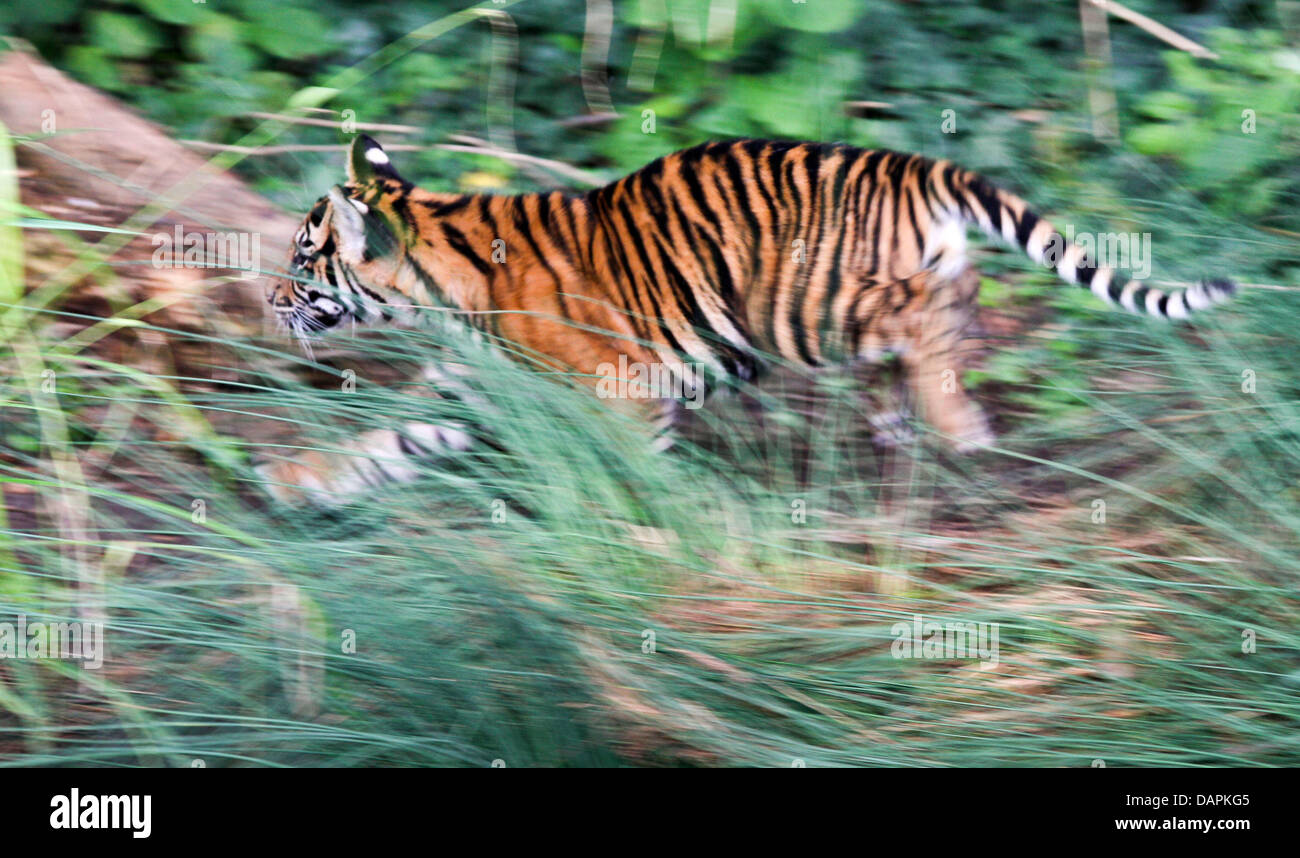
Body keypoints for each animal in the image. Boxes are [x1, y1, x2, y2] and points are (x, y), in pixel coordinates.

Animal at [258, 135, 1232, 501]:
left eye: (305, 259)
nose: (269, 301)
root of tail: (911, 164)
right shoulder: (480, 392)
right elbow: (388, 439)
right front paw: (297, 482)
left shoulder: (623, 386)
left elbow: (635, 462)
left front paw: (653, 519)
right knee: (949, 312)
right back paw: (903, 423)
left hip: (813, 305)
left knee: (928, 321)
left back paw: (956, 426)